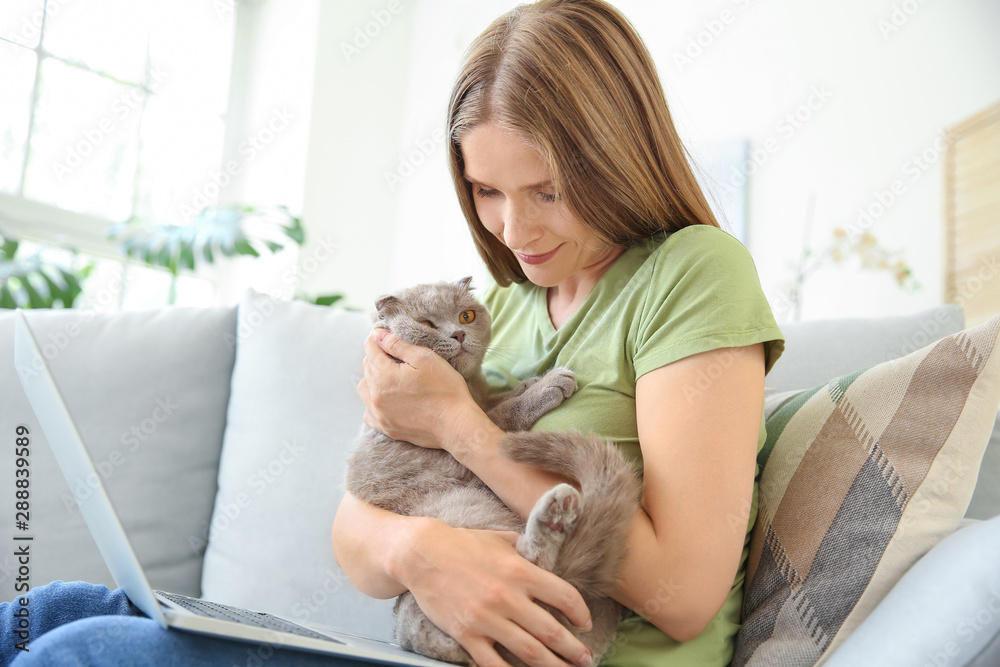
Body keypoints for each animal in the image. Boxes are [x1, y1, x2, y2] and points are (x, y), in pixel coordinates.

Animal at [344, 278, 640, 667]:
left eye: (466, 316)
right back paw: (554, 515)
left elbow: (495, 401)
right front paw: (546, 386)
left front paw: (528, 383)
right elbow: (499, 416)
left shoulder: (481, 400)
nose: (457, 334)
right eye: (426, 324)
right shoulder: (454, 447)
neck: (469, 388)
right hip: (464, 514)